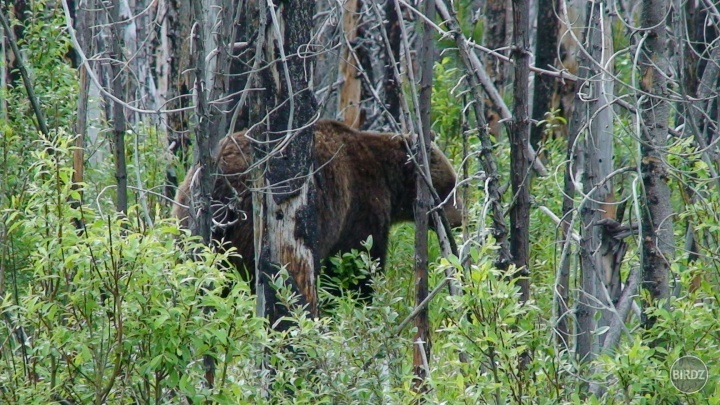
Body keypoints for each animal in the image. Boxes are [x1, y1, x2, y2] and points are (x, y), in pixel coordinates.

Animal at [173, 118, 462, 298]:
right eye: (450, 187)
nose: (459, 220)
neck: (390, 180)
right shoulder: (360, 204)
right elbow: (357, 262)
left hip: (187, 220)